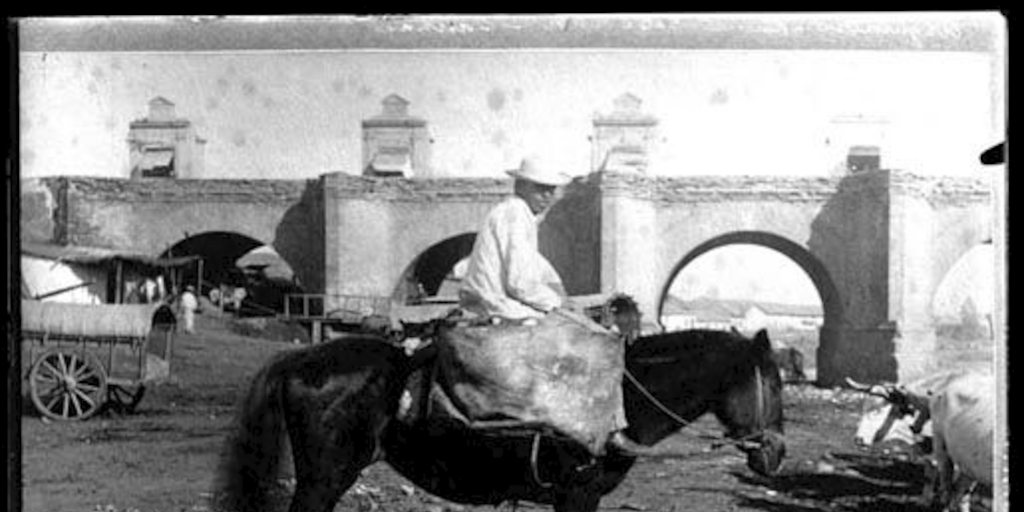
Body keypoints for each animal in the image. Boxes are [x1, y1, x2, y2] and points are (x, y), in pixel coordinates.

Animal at [220, 325, 786, 509]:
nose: (777, 454)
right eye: (776, 382)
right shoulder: (576, 495)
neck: (617, 400)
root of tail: (299, 359)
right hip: (324, 477)